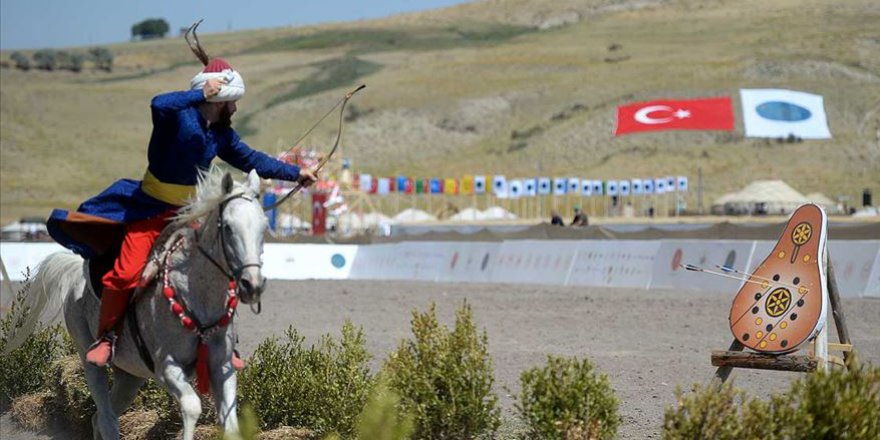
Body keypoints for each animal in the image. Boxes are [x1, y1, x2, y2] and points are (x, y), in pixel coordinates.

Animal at [20, 167, 266, 438]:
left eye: (263, 227)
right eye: (229, 228)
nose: (252, 284)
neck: (197, 293)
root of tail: (76, 272)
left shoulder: (222, 367)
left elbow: (230, 425)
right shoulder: (167, 367)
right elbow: (192, 407)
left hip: (130, 376)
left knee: (99, 418)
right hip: (89, 359)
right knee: (106, 416)